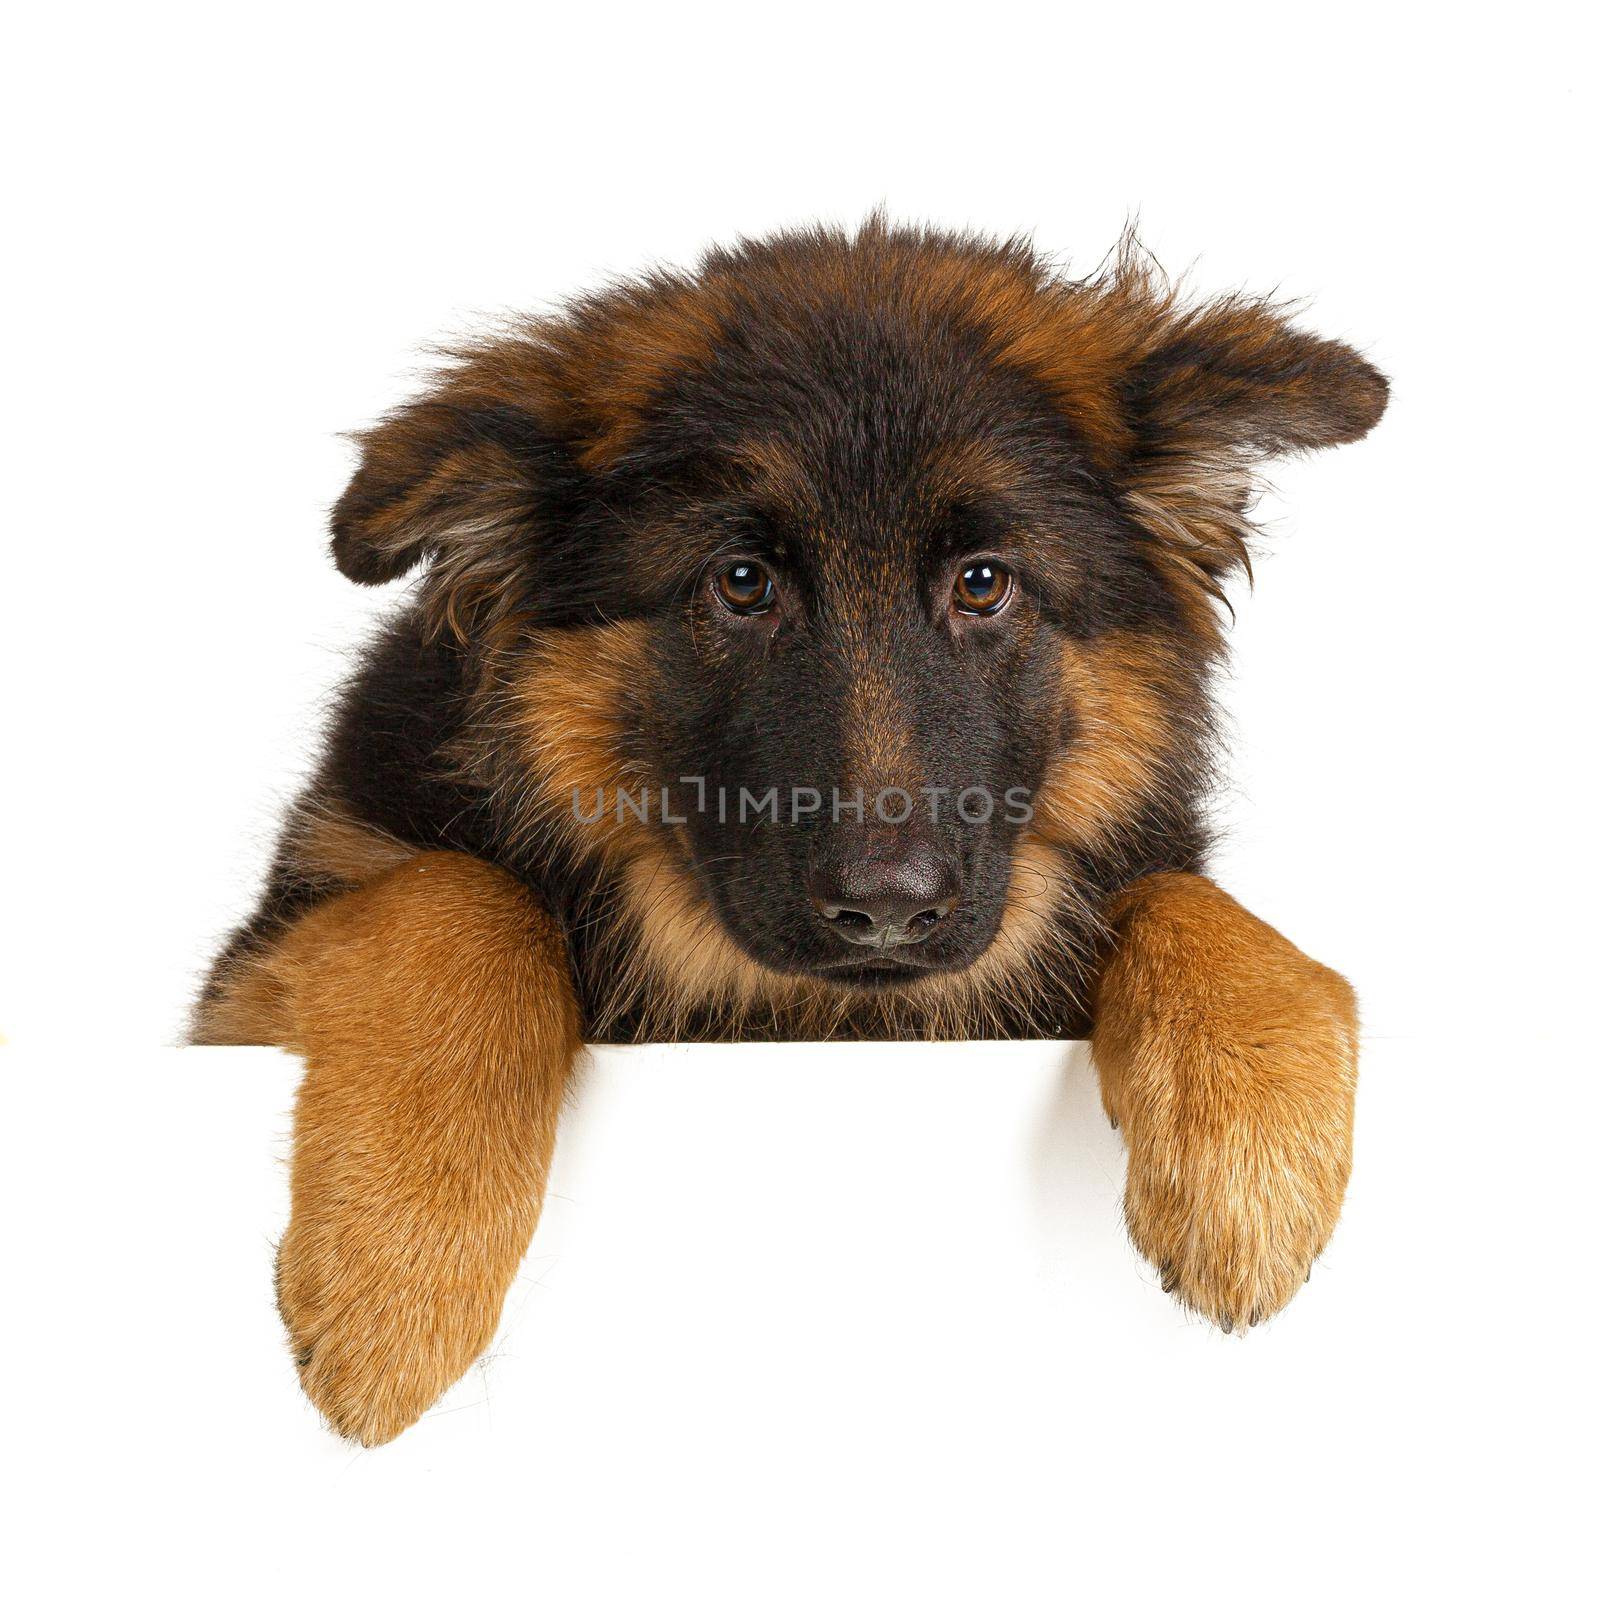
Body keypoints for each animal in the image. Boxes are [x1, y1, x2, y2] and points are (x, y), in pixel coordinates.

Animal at [196, 219, 1388, 1446]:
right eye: (741, 582)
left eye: (984, 583)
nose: (889, 909)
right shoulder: (249, 982)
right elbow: (460, 892)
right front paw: (397, 1265)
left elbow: (1195, 903)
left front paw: (1249, 1154)